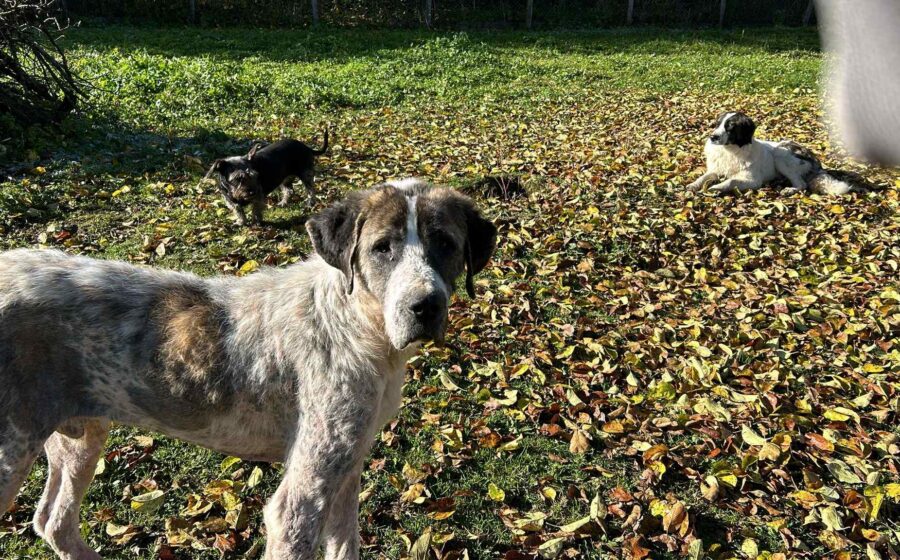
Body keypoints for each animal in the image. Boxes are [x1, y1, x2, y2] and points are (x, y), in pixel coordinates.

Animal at [0, 179, 497, 560]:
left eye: (446, 245)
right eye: (381, 248)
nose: (425, 307)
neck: (353, 321)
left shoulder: (345, 469)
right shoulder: (298, 503)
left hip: (80, 436)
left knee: (53, 522)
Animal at [687, 112, 863, 195]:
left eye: (730, 127)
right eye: (717, 124)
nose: (713, 137)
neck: (731, 151)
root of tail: (815, 160)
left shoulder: (753, 180)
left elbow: (731, 181)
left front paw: (716, 187)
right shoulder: (716, 169)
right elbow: (703, 177)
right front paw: (693, 185)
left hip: (781, 154)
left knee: (802, 184)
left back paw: (789, 190)